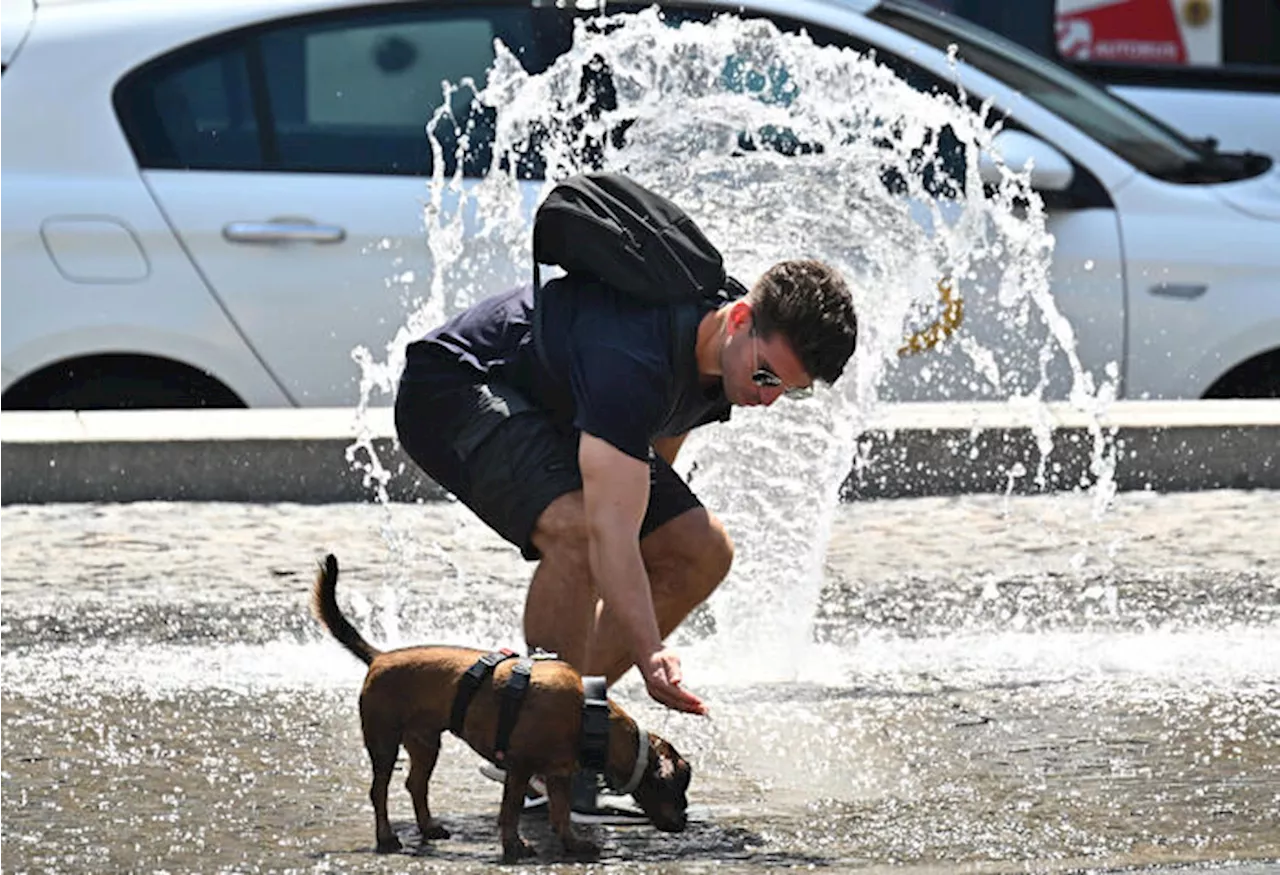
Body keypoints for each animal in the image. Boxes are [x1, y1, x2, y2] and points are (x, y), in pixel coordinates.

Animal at [309, 552, 691, 859]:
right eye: (678, 788)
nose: (686, 820)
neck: (590, 716)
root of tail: (379, 657)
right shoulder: (519, 768)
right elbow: (510, 812)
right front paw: (514, 846)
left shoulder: (558, 774)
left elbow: (561, 814)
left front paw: (572, 843)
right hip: (384, 742)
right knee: (380, 791)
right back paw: (386, 837)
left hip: (425, 742)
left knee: (416, 785)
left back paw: (429, 828)